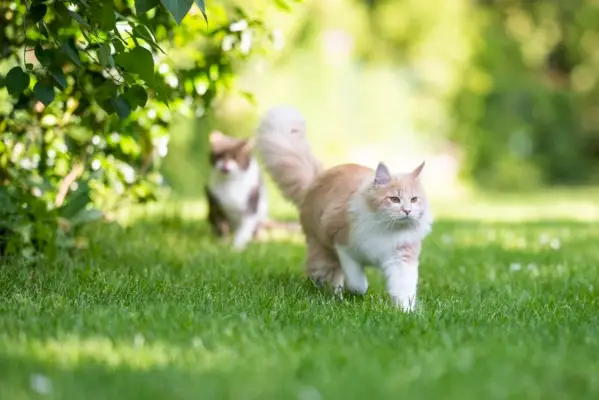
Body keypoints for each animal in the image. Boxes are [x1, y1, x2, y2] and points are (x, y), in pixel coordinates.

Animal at [255, 105, 434, 310]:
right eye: (394, 199)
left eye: (414, 199)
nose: (407, 211)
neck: (386, 229)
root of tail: (316, 179)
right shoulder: (343, 246)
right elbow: (357, 280)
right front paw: (357, 291)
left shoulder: (401, 258)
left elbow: (404, 290)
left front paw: (405, 312)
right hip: (322, 250)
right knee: (321, 273)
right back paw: (334, 296)